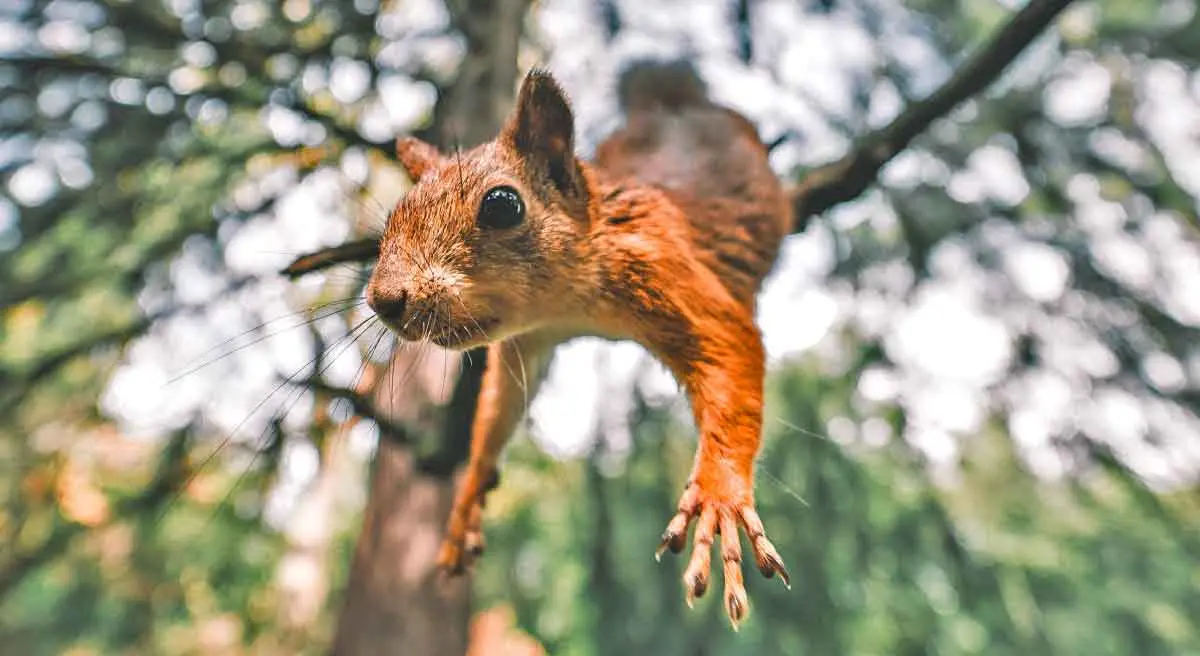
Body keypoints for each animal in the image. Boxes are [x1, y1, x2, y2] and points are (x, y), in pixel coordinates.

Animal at [364, 61, 796, 633]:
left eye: (502, 205)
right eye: (394, 215)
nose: (383, 300)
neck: (567, 303)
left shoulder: (665, 269)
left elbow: (730, 345)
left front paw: (719, 497)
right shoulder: (527, 342)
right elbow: (499, 407)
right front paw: (468, 495)